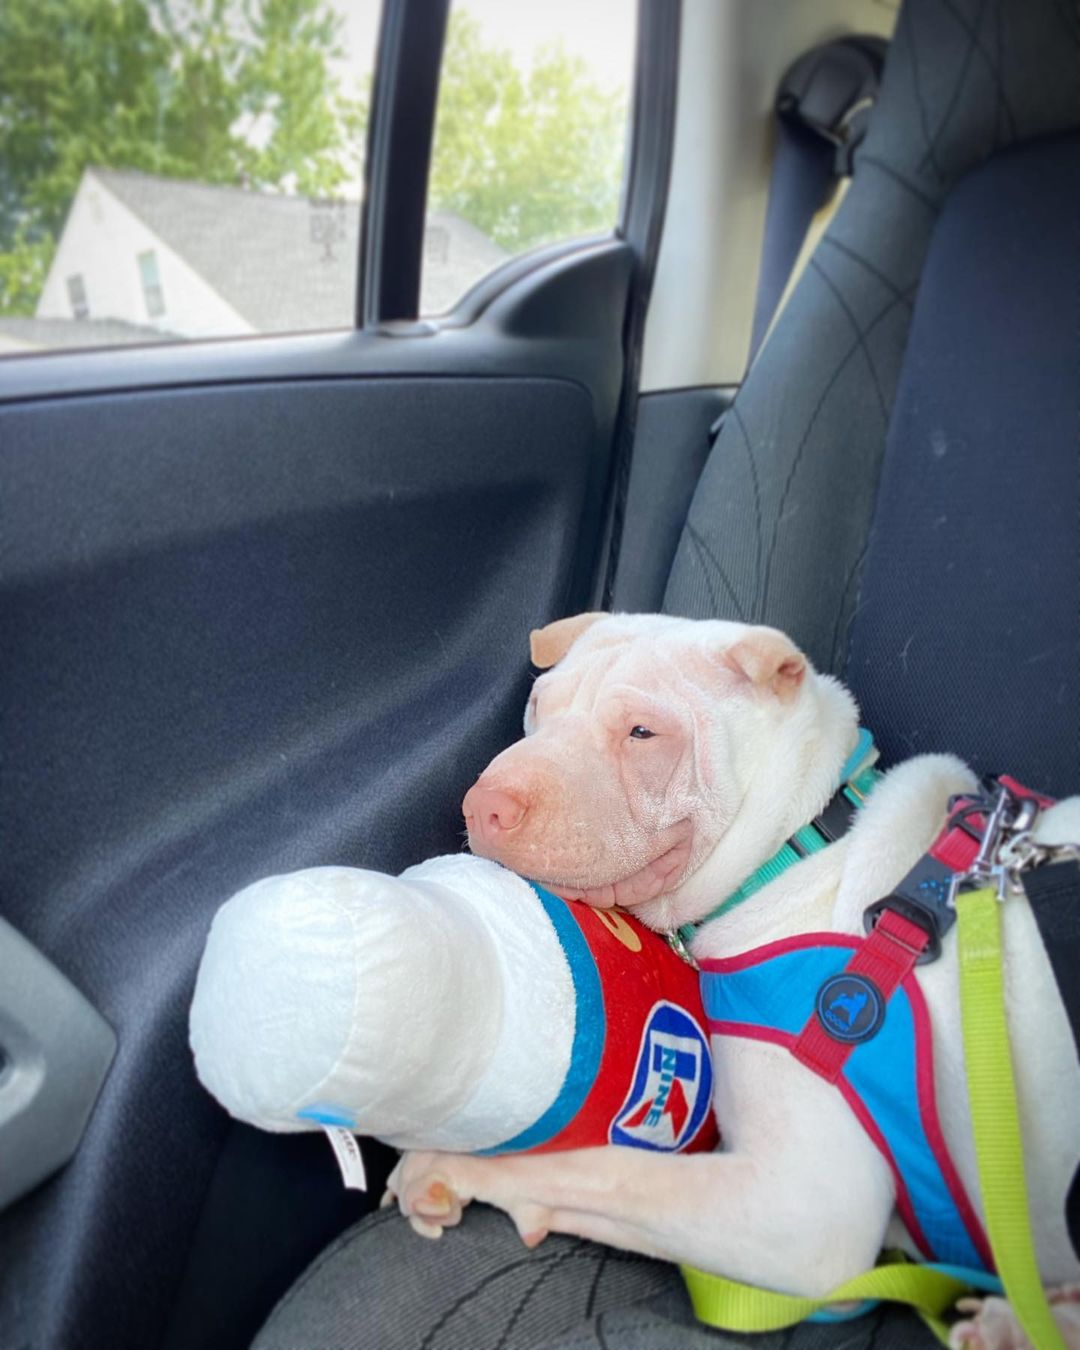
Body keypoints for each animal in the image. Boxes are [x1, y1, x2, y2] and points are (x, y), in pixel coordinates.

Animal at [388, 618, 1080, 1344]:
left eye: (643, 733)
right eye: (537, 708)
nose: (483, 806)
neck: (797, 848)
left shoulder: (800, 1214)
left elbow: (609, 1167)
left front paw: (454, 1163)